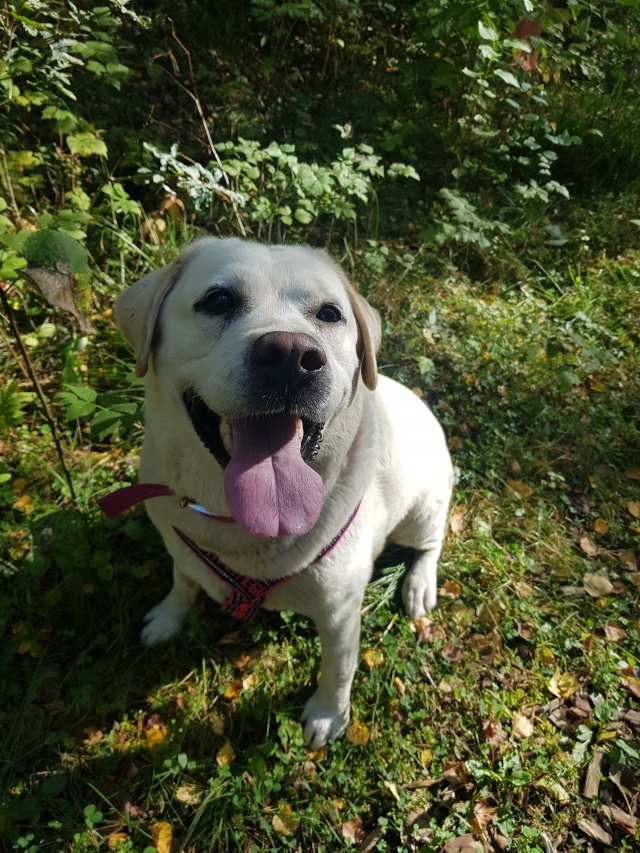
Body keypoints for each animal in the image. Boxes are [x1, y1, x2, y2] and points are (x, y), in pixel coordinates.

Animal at [105, 237, 453, 747]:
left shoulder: (341, 613)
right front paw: (169, 617)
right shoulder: (177, 540)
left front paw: (329, 714)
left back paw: (419, 584)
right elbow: (183, 578)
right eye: (218, 301)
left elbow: (339, 669)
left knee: (431, 542)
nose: (291, 354)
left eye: (330, 313)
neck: (241, 527)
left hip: (422, 509)